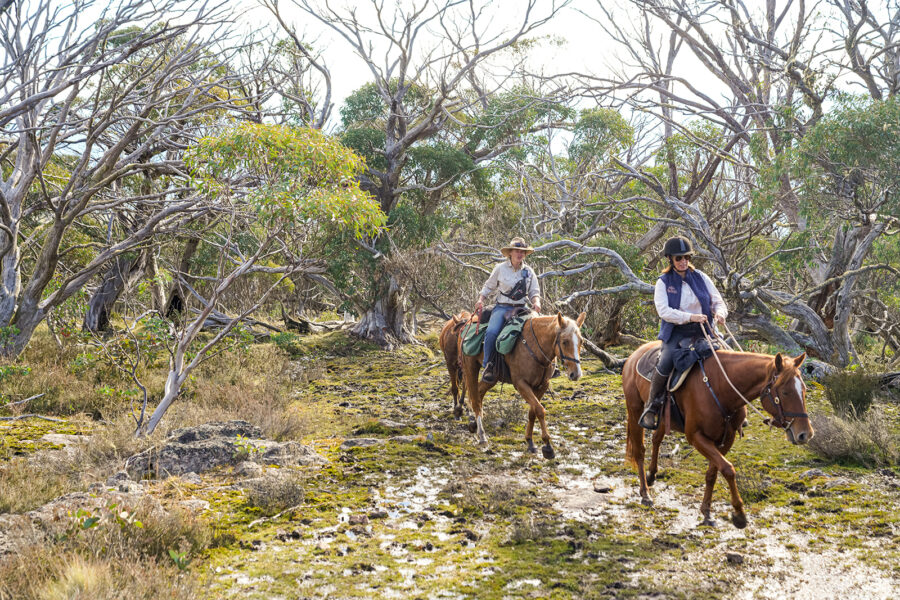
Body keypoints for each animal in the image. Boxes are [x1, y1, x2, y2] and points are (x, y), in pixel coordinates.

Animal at [457, 311, 586, 459]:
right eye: (565, 342)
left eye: (581, 341)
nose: (576, 374)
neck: (535, 347)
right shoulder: (521, 384)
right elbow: (540, 410)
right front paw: (548, 446)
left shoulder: (542, 385)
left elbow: (533, 411)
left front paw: (530, 442)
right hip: (470, 368)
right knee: (475, 399)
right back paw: (482, 435)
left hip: (493, 377)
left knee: (478, 393)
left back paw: (473, 423)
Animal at [621, 340, 814, 528]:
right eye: (785, 391)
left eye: (804, 389)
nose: (805, 434)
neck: (720, 387)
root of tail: (635, 354)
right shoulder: (696, 437)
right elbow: (728, 469)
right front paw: (739, 514)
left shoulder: (726, 439)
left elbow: (713, 474)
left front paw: (707, 513)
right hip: (635, 409)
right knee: (639, 450)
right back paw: (645, 494)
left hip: (663, 419)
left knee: (656, 440)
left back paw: (652, 475)